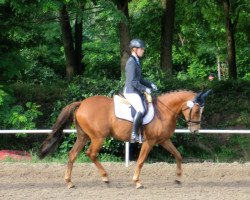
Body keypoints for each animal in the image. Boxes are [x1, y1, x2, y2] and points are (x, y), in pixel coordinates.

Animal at [39, 90, 211, 188]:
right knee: (91, 154)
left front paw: (178, 178)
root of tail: (81, 103)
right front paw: (137, 181)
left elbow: (178, 155)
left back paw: (69, 182)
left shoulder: (163, 140)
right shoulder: (149, 142)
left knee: (72, 155)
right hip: (98, 137)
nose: (195, 130)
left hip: (83, 136)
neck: (163, 111)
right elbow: (141, 161)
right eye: (197, 110)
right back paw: (105, 178)